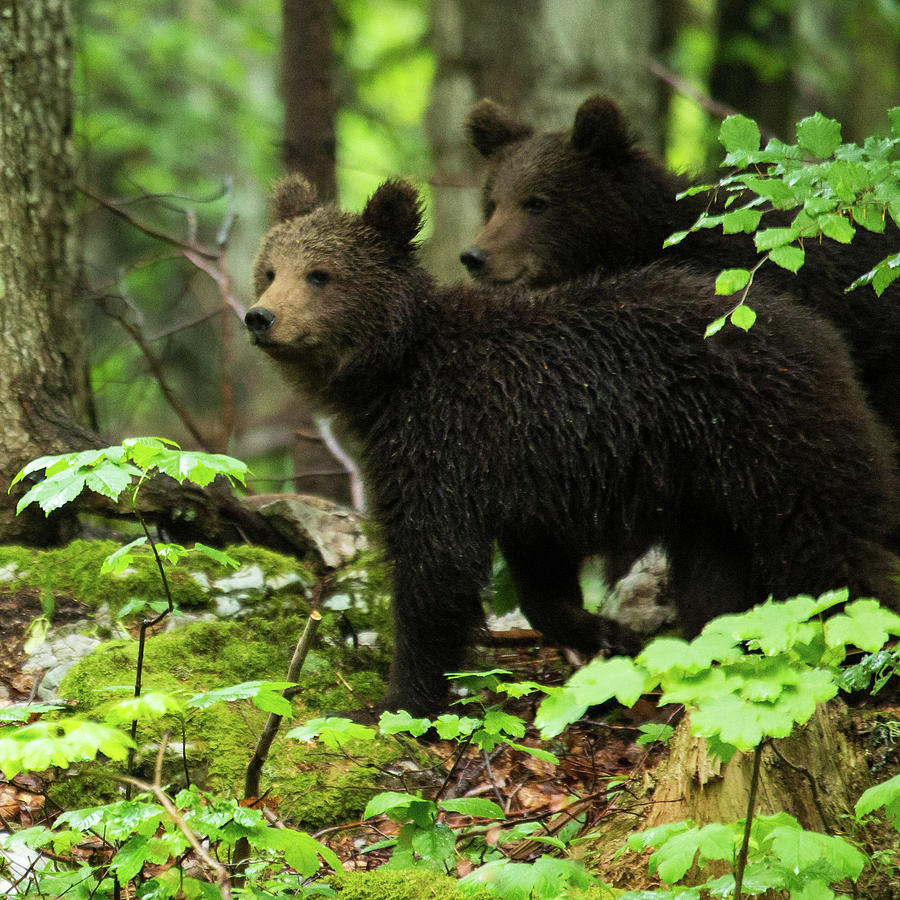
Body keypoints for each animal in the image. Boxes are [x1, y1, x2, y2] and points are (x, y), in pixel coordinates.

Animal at [244, 174, 900, 716]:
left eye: (320, 275)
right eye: (270, 269)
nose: (259, 317)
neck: (392, 374)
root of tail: (822, 338)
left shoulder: (447, 440)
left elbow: (435, 568)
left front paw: (398, 702)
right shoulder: (520, 467)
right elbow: (538, 572)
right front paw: (604, 633)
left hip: (776, 446)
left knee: (831, 549)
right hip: (710, 491)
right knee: (720, 576)